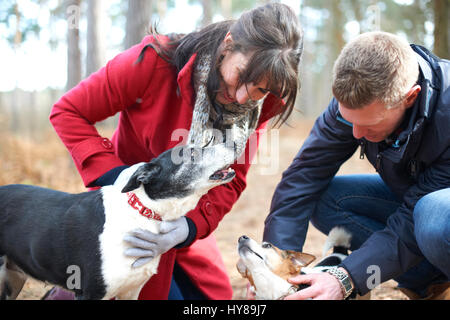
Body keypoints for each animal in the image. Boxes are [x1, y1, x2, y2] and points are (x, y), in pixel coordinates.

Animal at [0, 144, 236, 298]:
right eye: (192, 152)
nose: (233, 143)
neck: (144, 211)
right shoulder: (90, 293)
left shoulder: (132, 291)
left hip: (12, 279)